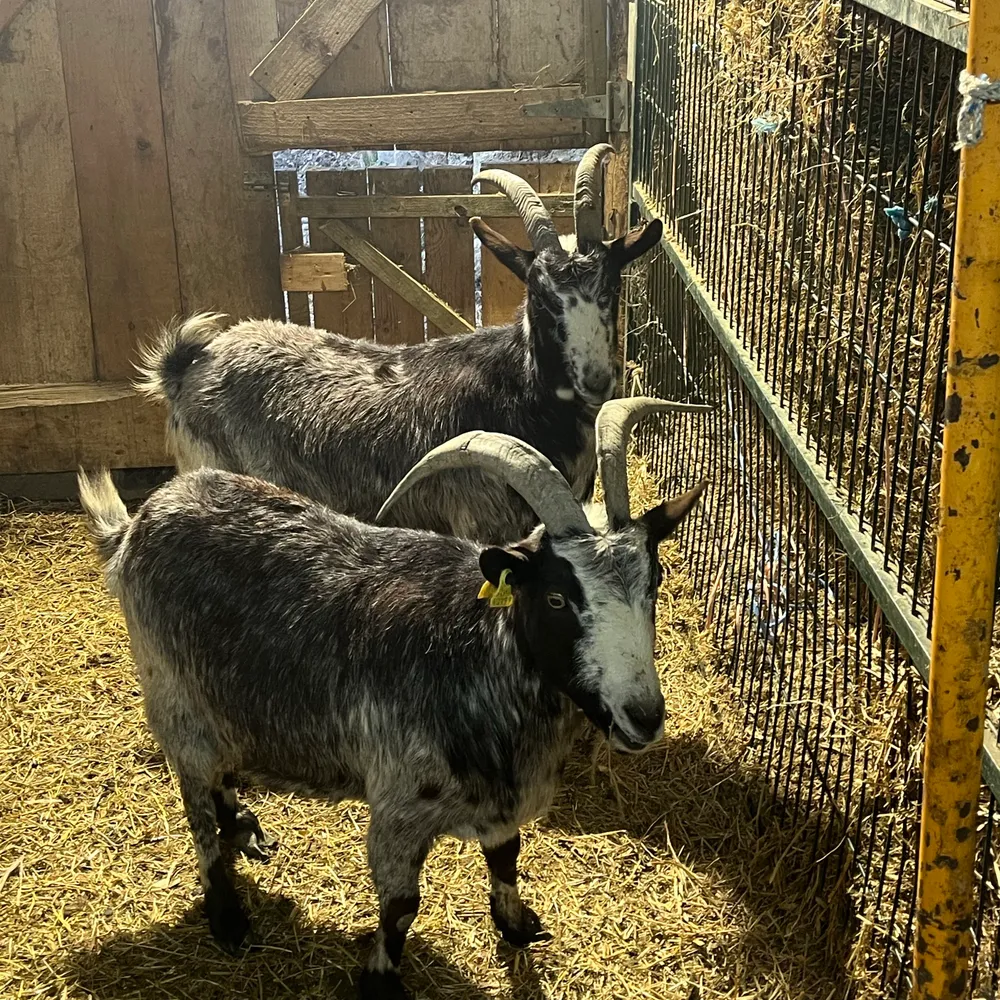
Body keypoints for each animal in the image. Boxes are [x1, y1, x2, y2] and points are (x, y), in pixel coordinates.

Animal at [80, 397, 706, 1000]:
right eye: (556, 598)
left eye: (654, 580)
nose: (643, 716)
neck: (474, 652)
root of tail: (138, 523)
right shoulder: (399, 806)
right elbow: (402, 907)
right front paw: (381, 978)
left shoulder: (501, 798)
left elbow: (507, 858)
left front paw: (516, 924)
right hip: (173, 695)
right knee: (196, 803)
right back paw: (227, 913)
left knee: (218, 777)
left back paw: (244, 826)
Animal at [135, 146, 701, 545]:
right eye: (539, 296)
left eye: (611, 287)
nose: (596, 380)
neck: (518, 390)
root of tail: (188, 366)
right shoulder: (483, 522)